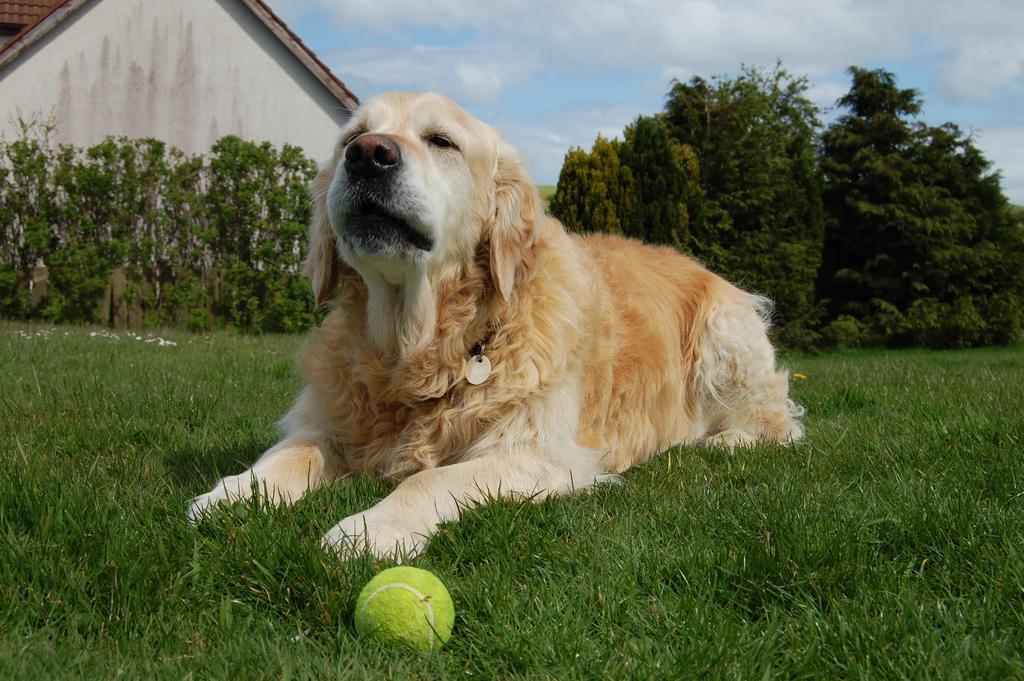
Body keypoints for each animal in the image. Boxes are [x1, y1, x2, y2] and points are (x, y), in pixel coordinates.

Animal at [188, 91, 802, 557]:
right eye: (351, 137)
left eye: (441, 141)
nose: (366, 155)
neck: (421, 346)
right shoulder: (329, 420)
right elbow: (289, 454)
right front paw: (231, 495)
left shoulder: (540, 452)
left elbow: (431, 476)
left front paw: (371, 527)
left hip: (726, 337)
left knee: (782, 424)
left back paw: (728, 441)